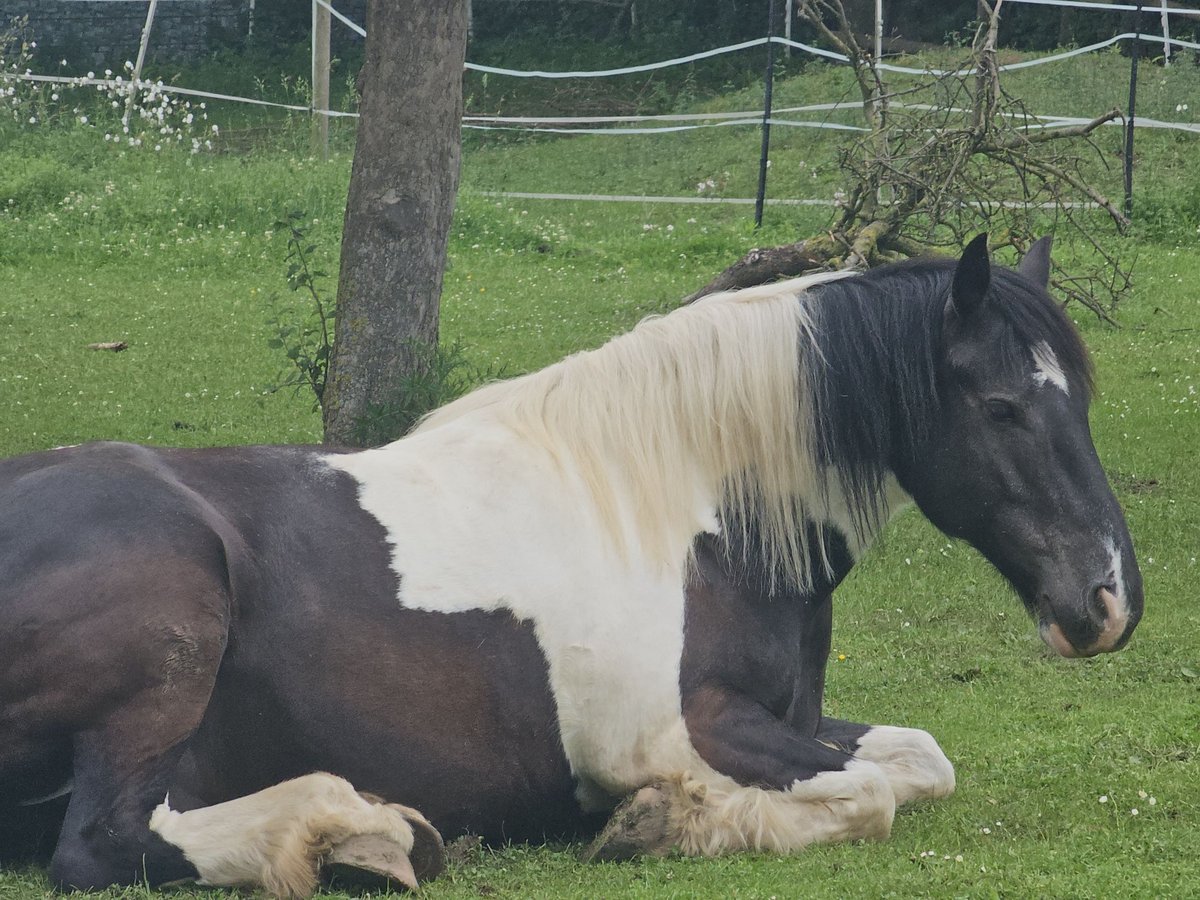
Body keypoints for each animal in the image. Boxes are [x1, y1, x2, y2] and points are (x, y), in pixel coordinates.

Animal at [0, 236, 1142, 897]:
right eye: (1003, 408)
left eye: (1080, 400)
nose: (1106, 601)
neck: (690, 516)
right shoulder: (697, 730)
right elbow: (868, 794)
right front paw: (663, 823)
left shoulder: (802, 720)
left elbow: (920, 761)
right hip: (173, 627)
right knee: (101, 845)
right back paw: (358, 832)